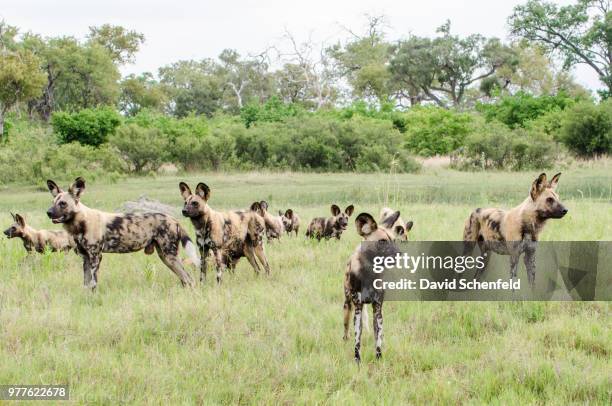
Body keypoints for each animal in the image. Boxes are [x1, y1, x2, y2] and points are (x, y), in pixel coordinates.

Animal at [46, 177, 198, 288]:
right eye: (53, 202)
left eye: (63, 203)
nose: (48, 212)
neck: (81, 223)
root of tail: (174, 219)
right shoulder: (86, 258)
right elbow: (86, 285)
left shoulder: (96, 257)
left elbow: (93, 284)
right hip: (166, 257)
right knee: (186, 280)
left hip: (170, 256)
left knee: (189, 279)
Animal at [342, 211, 414, 364]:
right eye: (382, 241)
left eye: (394, 240)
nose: (400, 254)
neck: (370, 273)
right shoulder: (358, 309)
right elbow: (357, 340)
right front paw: (357, 360)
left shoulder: (377, 308)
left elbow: (378, 339)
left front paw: (379, 358)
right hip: (347, 306)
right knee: (346, 328)